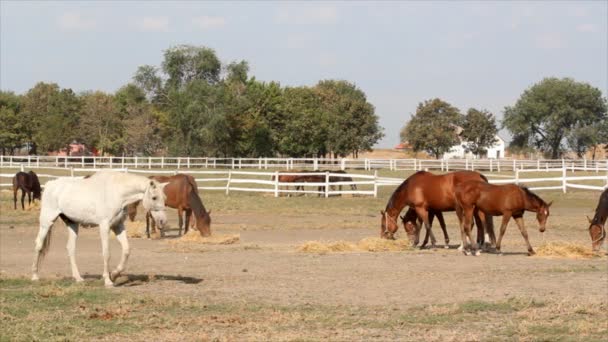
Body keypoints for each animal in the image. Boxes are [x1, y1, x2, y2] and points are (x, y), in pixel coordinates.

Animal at [31, 170, 169, 286]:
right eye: (154, 197)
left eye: (164, 198)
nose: (163, 221)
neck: (117, 193)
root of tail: (49, 184)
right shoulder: (104, 226)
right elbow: (106, 253)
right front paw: (108, 280)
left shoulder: (118, 226)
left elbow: (126, 250)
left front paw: (114, 274)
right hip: (47, 222)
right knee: (38, 245)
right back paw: (34, 276)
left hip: (72, 224)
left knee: (70, 249)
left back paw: (78, 278)